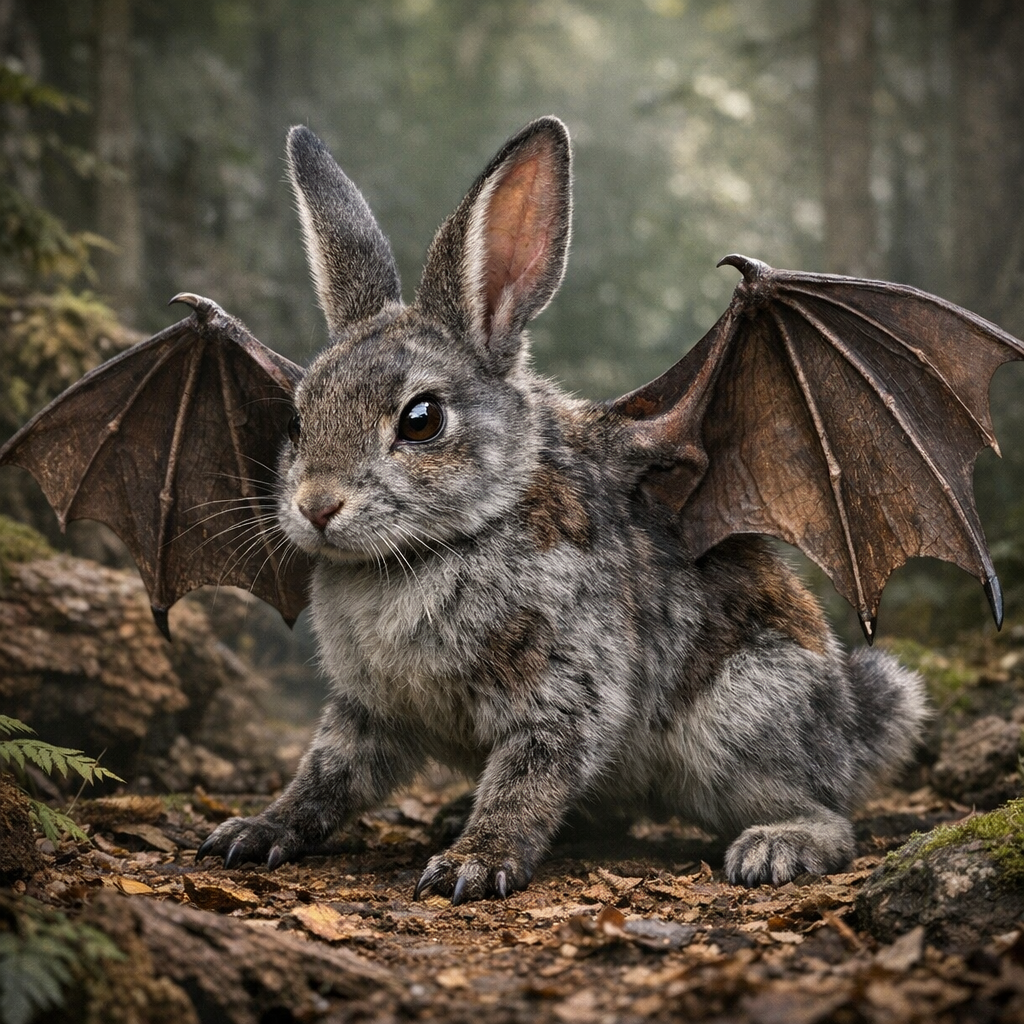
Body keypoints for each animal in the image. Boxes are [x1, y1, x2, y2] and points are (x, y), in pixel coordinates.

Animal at [196, 116, 928, 903]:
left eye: (422, 420)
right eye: (295, 419)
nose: (317, 505)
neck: (432, 548)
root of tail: (852, 733)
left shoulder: (564, 688)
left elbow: (529, 775)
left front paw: (473, 863)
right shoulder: (366, 709)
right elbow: (325, 774)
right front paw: (254, 831)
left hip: (739, 722)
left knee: (828, 815)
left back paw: (777, 847)